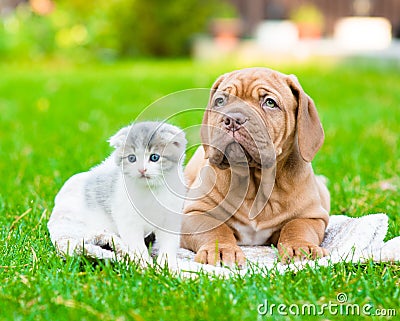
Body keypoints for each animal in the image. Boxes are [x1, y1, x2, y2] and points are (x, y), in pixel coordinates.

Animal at [48, 121, 188, 266]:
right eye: (132, 158)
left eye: (154, 157)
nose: (141, 170)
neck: (152, 191)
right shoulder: (128, 220)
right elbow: (137, 245)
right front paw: (146, 264)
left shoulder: (170, 218)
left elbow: (169, 243)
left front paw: (167, 264)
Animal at [180, 67, 328, 264]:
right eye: (220, 101)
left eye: (270, 102)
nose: (232, 119)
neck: (255, 181)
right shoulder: (195, 213)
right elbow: (215, 230)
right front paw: (220, 250)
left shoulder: (311, 216)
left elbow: (297, 227)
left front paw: (301, 248)